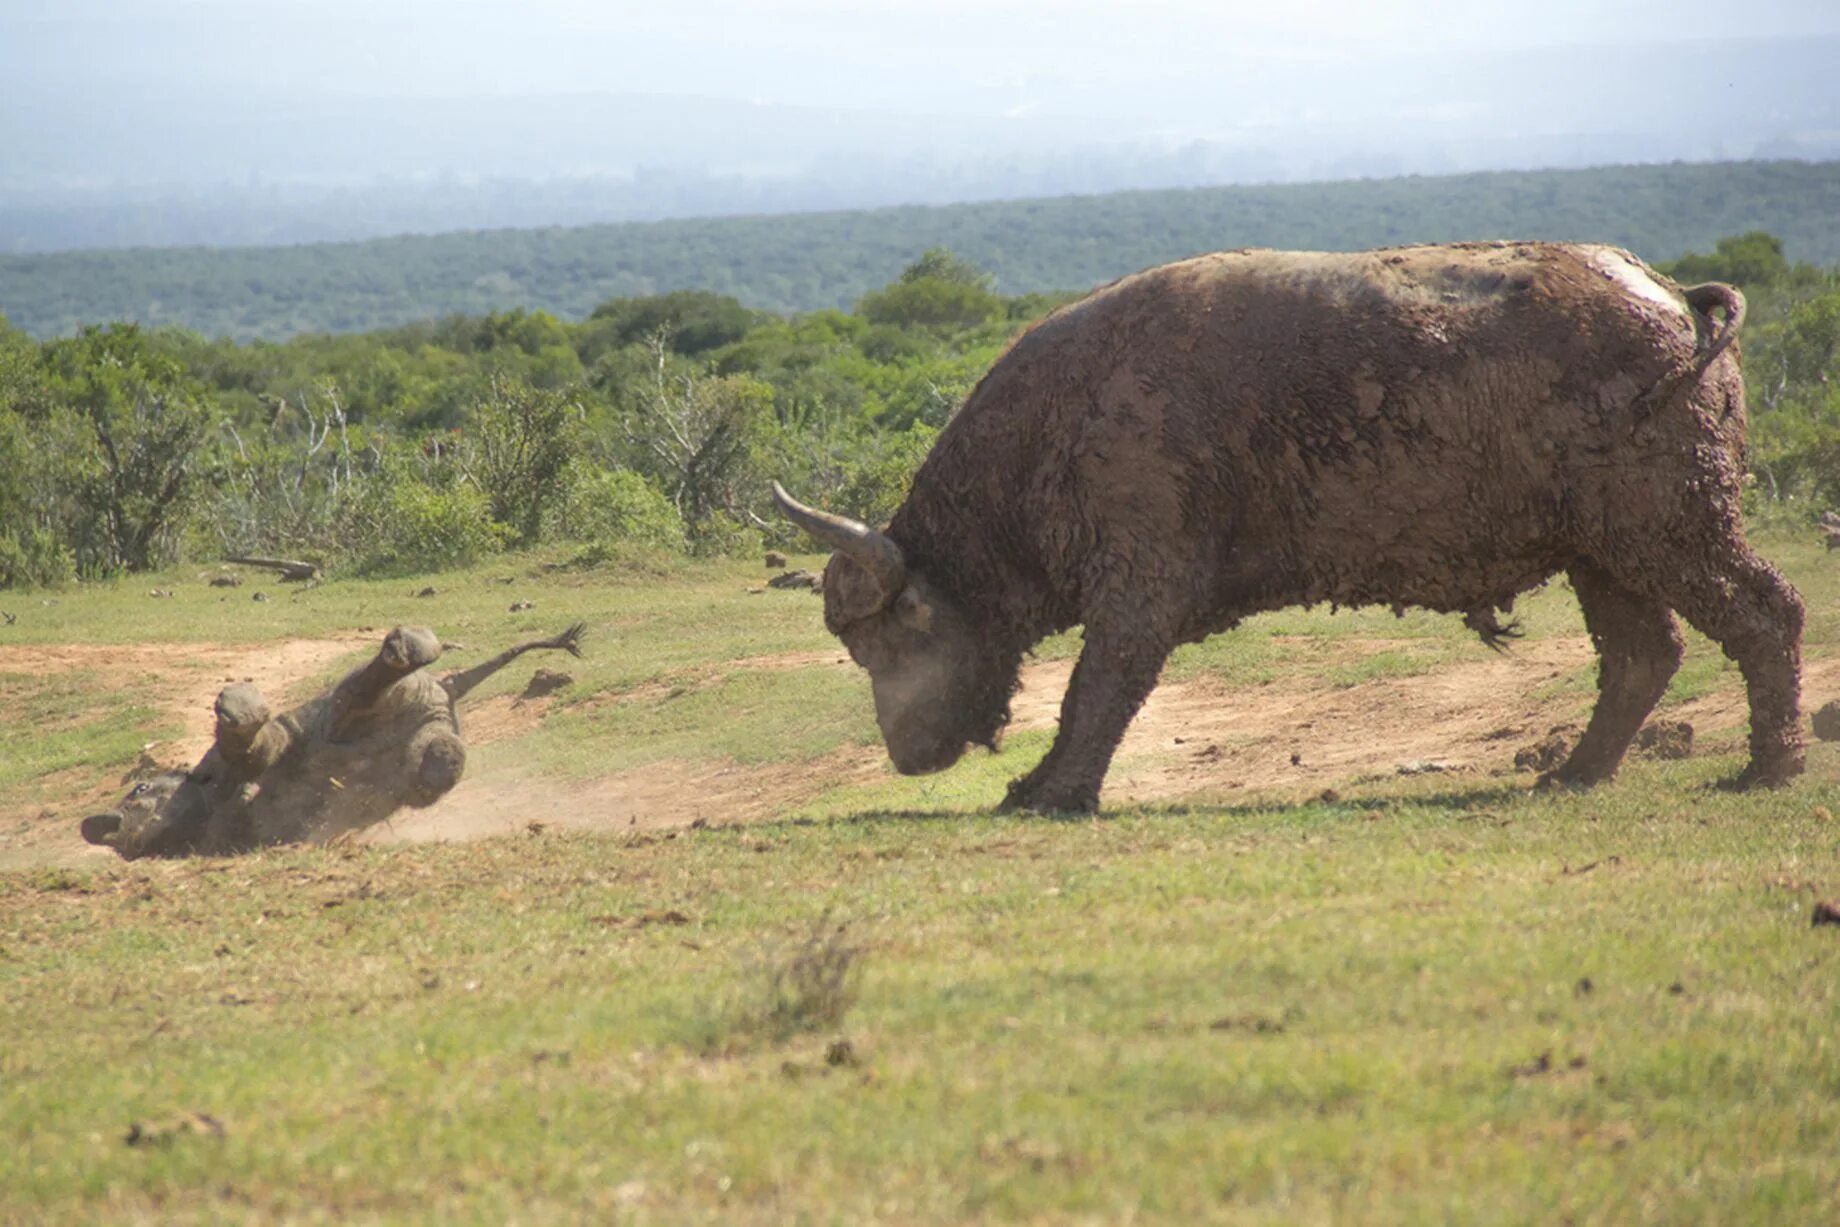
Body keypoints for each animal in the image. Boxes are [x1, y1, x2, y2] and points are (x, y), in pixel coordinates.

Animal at [769, 242, 1803, 809]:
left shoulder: (1139, 590)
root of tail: (1676, 300)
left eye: (893, 633)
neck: (1065, 417)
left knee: (1766, 614)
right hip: (1604, 549)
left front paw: (1051, 792)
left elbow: (1096, 690)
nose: (905, 754)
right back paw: (1575, 773)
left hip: (1672, 527)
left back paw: (1768, 769)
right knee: (1643, 654)